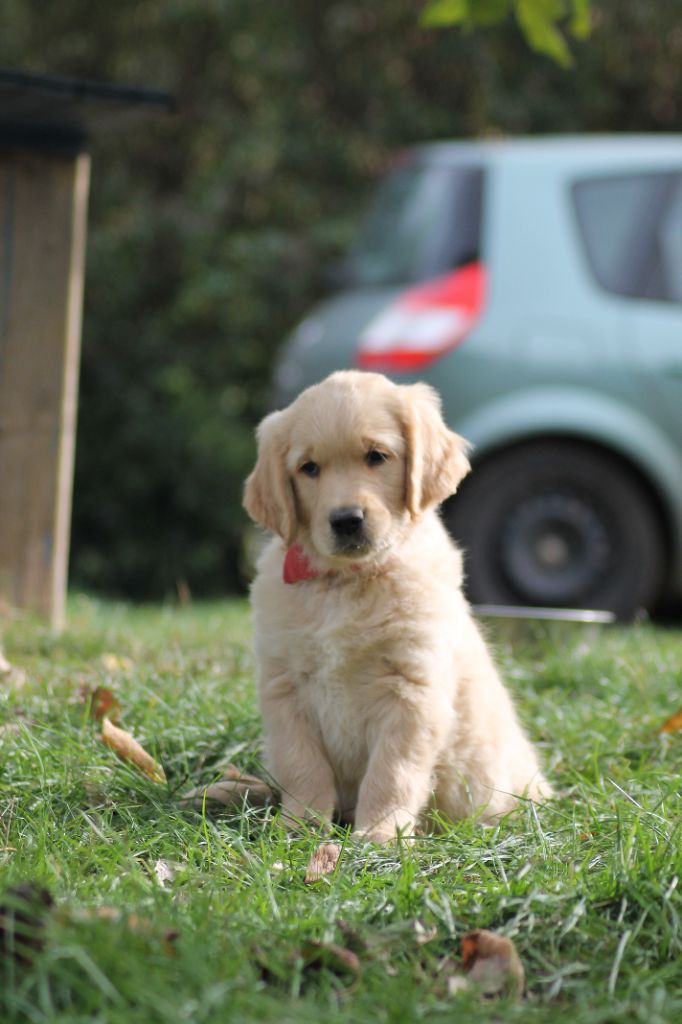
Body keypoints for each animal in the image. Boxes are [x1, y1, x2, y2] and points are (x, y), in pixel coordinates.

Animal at [241, 368, 548, 839]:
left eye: (377, 456)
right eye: (309, 468)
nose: (346, 520)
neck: (348, 582)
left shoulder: (412, 690)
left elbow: (392, 773)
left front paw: (381, 835)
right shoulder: (284, 685)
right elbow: (302, 764)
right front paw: (300, 827)